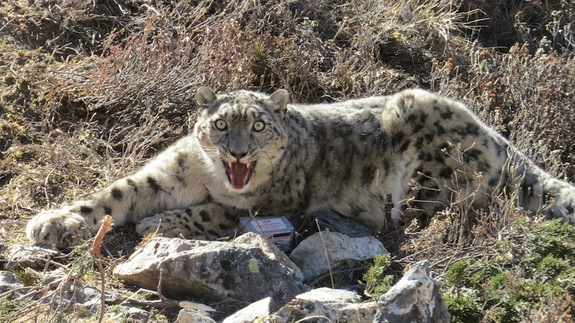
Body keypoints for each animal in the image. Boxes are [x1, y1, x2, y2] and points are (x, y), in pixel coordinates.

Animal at [24, 87, 575, 249]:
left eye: (258, 125)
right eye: (220, 124)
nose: (238, 153)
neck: (209, 178)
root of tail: (501, 140)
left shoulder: (274, 203)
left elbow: (216, 213)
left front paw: (158, 223)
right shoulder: (168, 173)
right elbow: (117, 193)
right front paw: (51, 222)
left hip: (433, 166)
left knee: (424, 214)